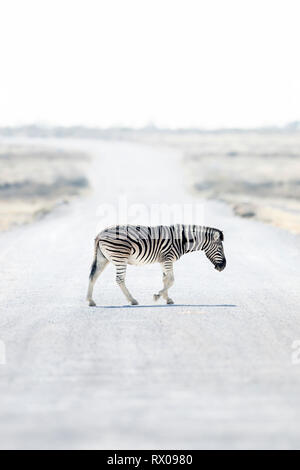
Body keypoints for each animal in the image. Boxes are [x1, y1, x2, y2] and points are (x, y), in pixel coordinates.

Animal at [85, 225, 226, 308]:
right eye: (220, 248)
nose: (223, 267)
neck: (182, 240)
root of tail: (100, 234)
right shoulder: (168, 259)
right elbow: (171, 280)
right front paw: (157, 296)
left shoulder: (164, 261)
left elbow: (165, 280)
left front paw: (167, 299)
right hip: (120, 257)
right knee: (119, 279)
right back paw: (132, 300)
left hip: (103, 258)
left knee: (93, 276)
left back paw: (90, 301)